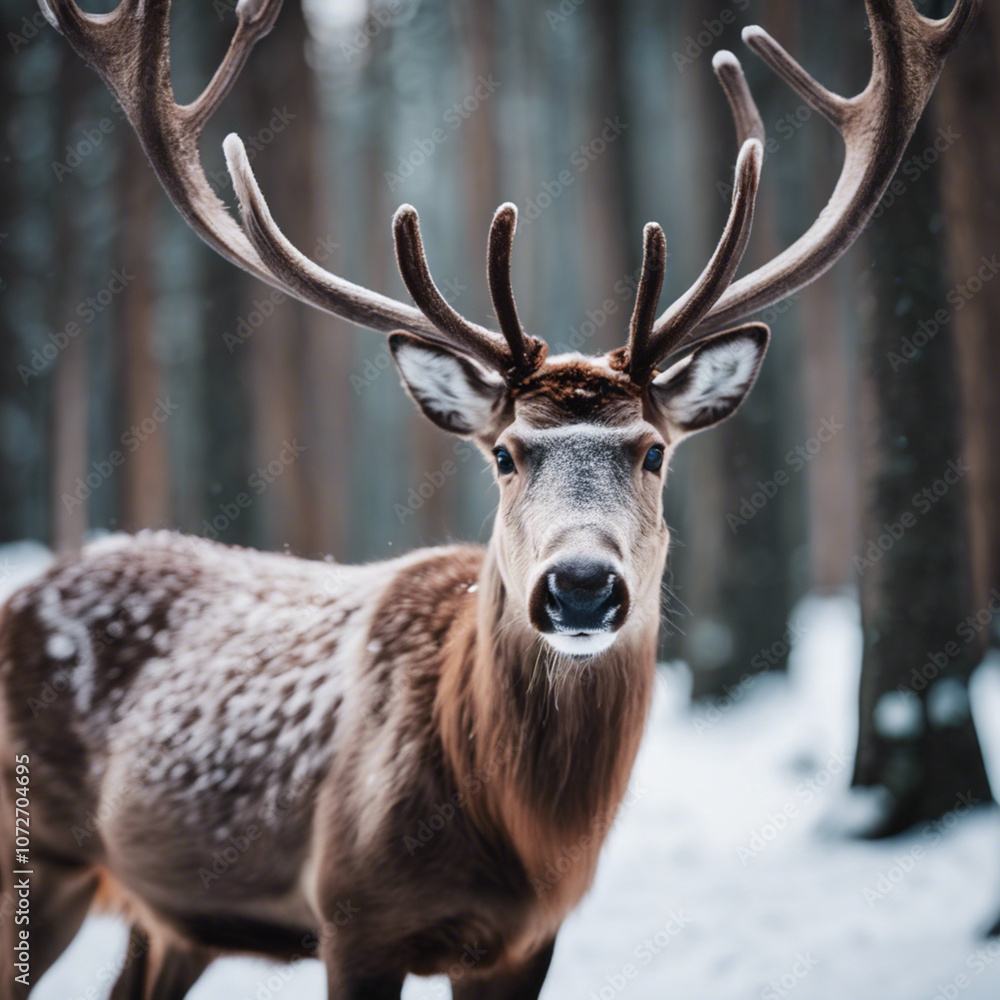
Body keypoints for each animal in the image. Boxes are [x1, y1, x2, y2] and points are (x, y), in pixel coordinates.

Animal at [0, 0, 976, 996]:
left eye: (654, 451)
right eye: (505, 453)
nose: (580, 586)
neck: (515, 840)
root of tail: (26, 591)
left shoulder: (527, 940)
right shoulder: (350, 915)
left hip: (168, 916)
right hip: (37, 855)